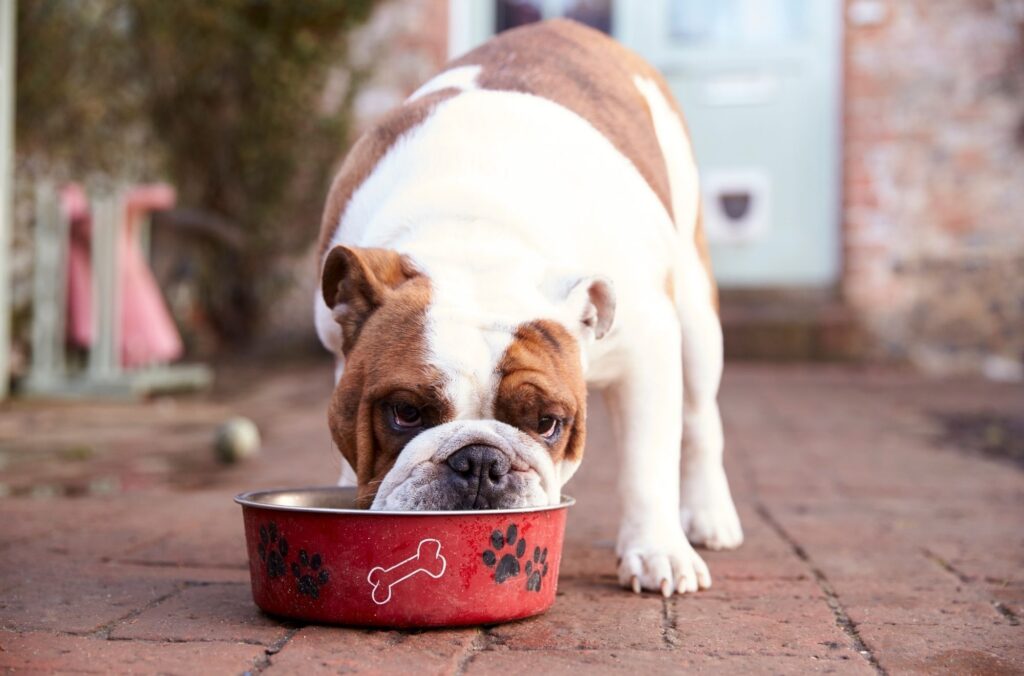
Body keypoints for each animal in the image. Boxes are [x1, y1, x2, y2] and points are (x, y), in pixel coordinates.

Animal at [315, 18, 741, 594]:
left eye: (547, 424)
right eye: (405, 413)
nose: (479, 461)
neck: (475, 238)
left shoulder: (648, 349)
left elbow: (648, 462)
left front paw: (658, 551)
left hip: (696, 317)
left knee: (699, 419)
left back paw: (710, 516)